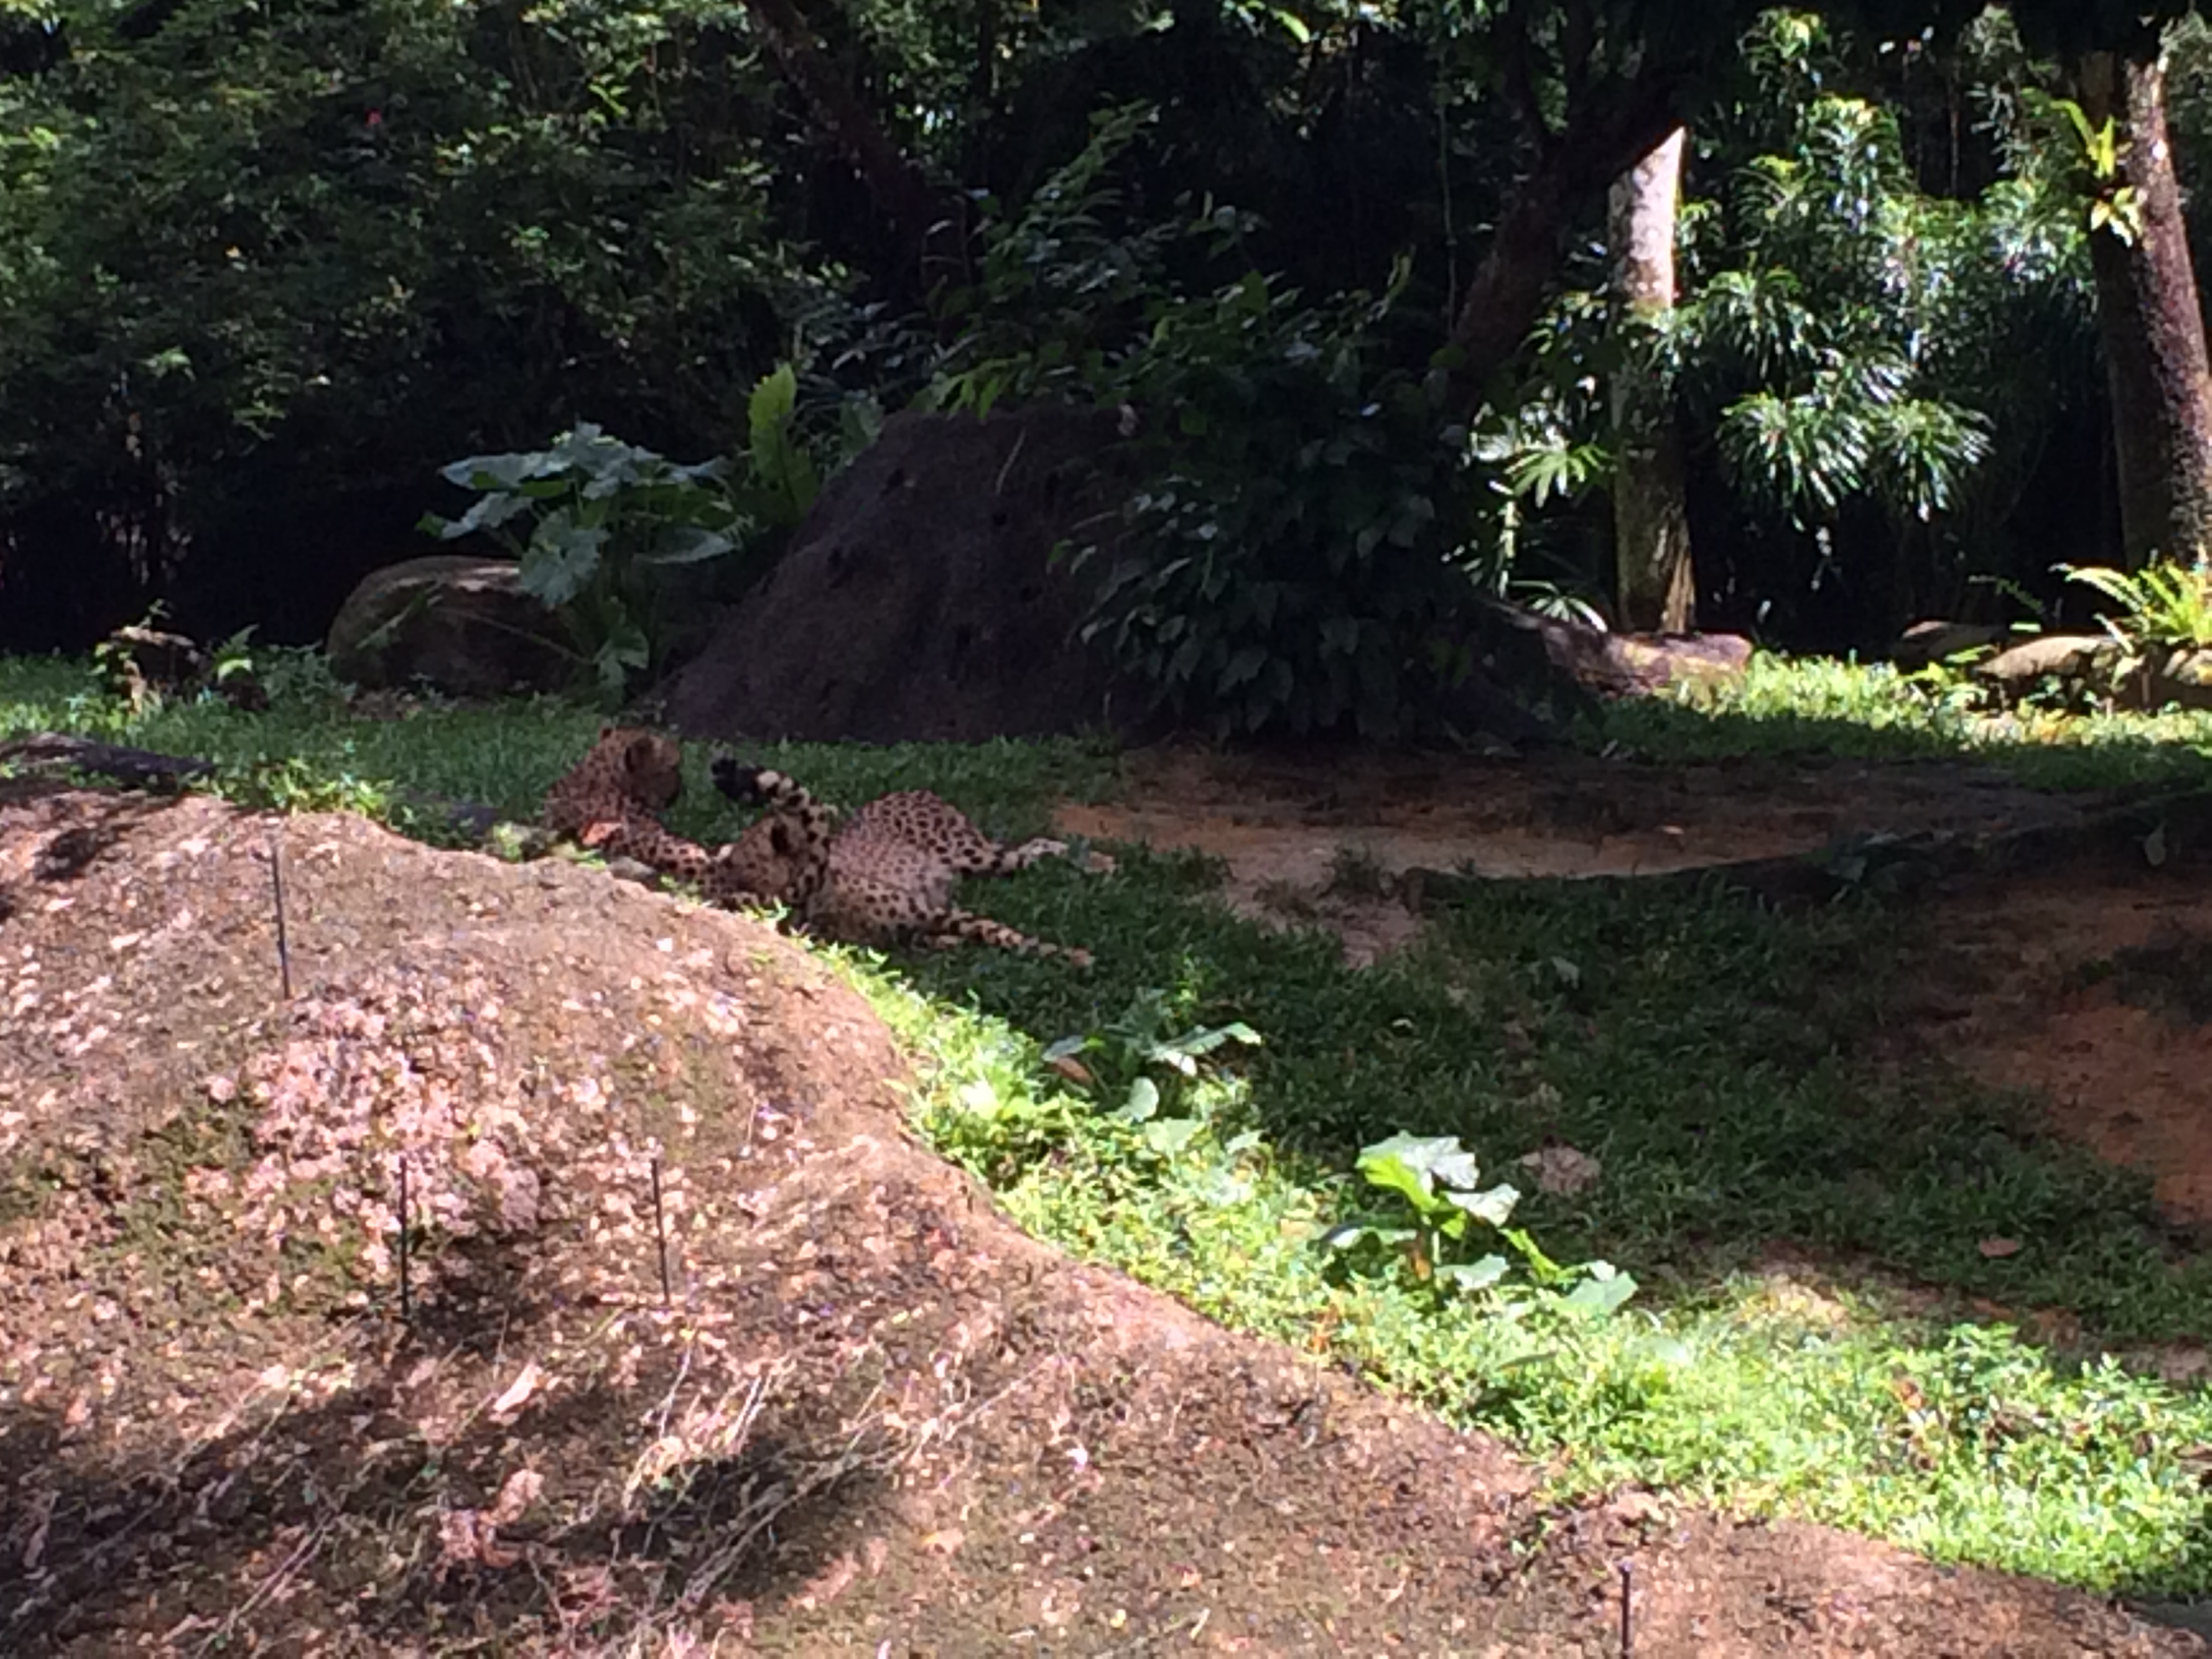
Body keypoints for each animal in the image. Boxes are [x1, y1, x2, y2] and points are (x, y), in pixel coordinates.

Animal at [710, 756, 1092, 967]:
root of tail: (913, 791)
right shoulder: (915, 930)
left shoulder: (937, 913)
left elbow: (1008, 935)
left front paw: (1072, 956)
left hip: (976, 854)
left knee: (1023, 853)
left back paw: (1072, 853)